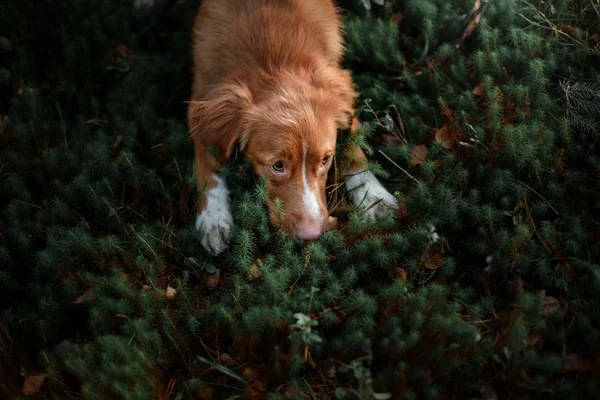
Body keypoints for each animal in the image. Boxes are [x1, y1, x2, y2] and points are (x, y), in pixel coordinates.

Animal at [188, 0, 398, 255]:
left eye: (325, 160)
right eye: (277, 166)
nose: (311, 235)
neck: (273, 55)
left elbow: (354, 146)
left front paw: (375, 197)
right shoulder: (201, 98)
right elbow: (207, 162)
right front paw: (213, 218)